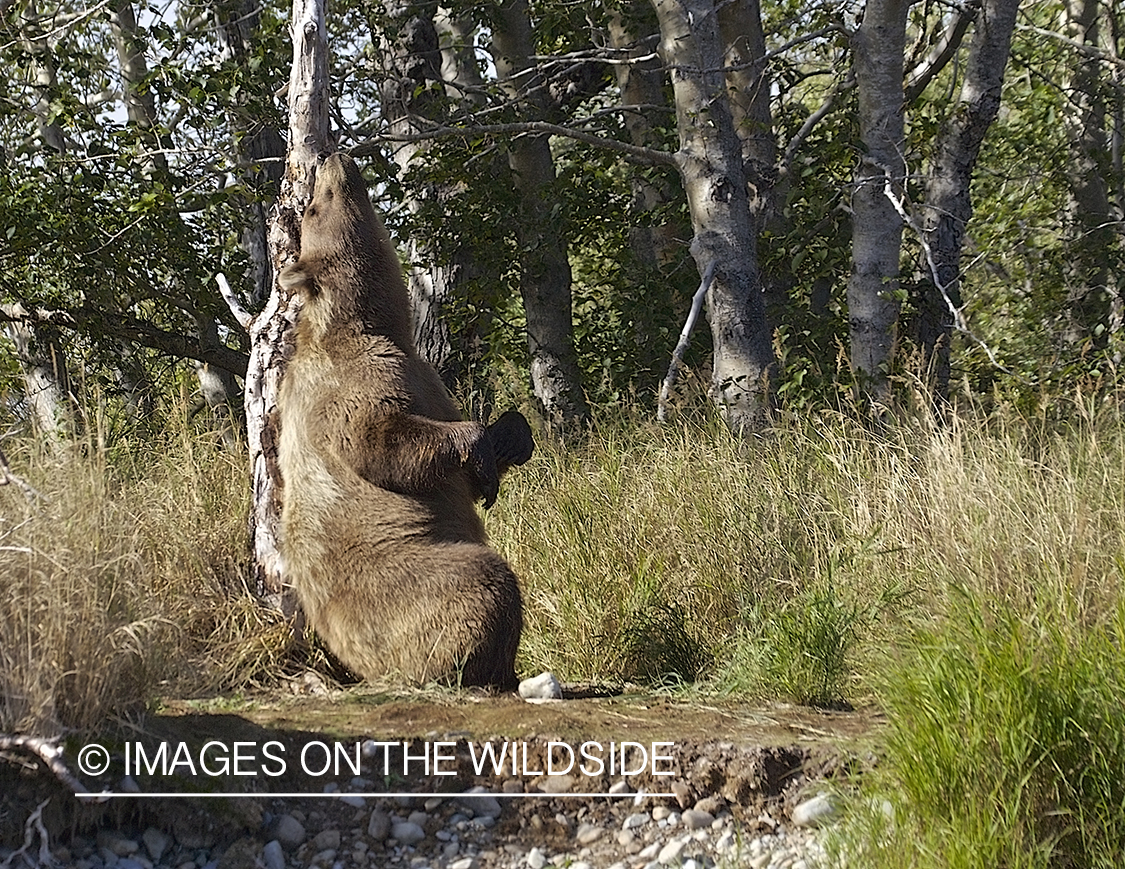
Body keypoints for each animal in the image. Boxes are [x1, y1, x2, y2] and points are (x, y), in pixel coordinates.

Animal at [276, 150, 531, 693]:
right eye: (314, 206)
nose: (331, 156)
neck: (381, 324)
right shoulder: (345, 384)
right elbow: (378, 439)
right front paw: (478, 448)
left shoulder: (427, 376)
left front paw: (511, 436)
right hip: (398, 578)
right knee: (482, 580)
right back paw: (481, 667)